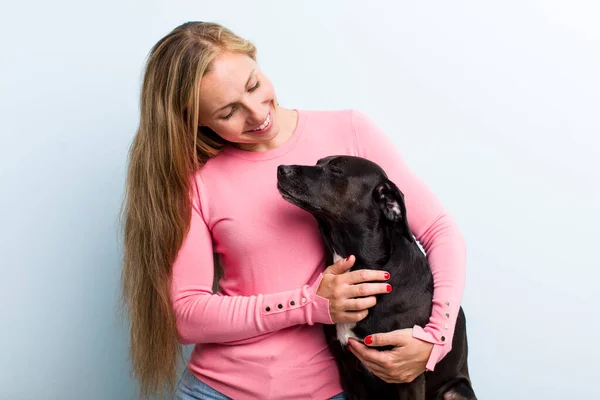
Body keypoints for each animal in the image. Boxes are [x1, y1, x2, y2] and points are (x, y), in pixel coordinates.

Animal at [278, 155, 478, 400]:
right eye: (318, 162)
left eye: (336, 170)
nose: (281, 169)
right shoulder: (349, 373)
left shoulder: (407, 373)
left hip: (455, 391)